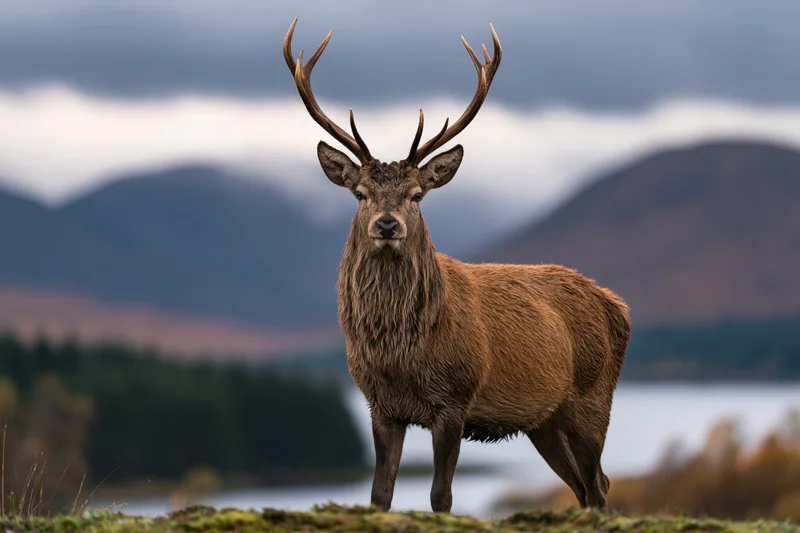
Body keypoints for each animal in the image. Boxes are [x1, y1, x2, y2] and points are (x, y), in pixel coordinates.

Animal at [282, 19, 631, 514]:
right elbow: (379, 495)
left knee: (599, 484)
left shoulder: (455, 400)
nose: (386, 224)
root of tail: (617, 305)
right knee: (584, 486)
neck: (400, 356)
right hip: (544, 420)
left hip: (593, 397)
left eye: (417, 195)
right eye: (361, 193)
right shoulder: (380, 406)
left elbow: (440, 496)